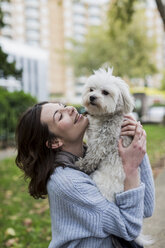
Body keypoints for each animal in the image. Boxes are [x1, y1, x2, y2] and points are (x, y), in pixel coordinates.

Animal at [76, 67, 153, 246]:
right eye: (91, 89)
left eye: (105, 92)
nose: (92, 97)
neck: (106, 117)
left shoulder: (100, 143)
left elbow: (91, 157)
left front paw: (81, 165)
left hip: (98, 179)